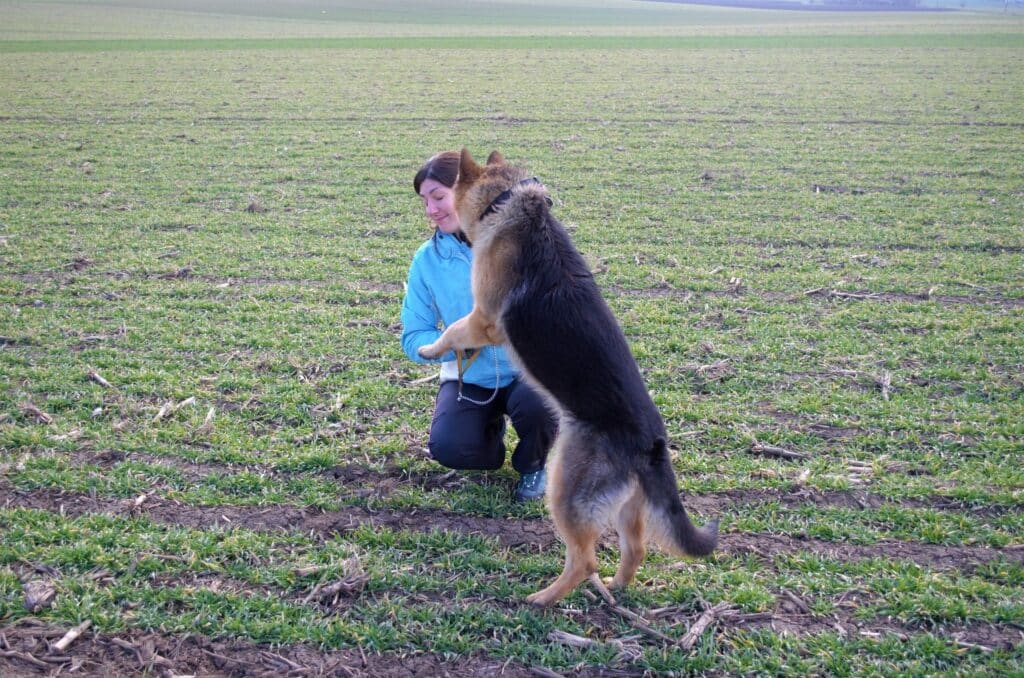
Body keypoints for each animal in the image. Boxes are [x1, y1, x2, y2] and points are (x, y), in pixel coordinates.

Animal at [417, 151, 720, 606]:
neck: (507, 202)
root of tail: (651, 442)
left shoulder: (484, 319)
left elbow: (452, 329)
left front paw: (429, 350)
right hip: (628, 508)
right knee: (635, 549)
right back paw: (616, 590)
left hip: (564, 490)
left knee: (583, 560)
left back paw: (542, 599)